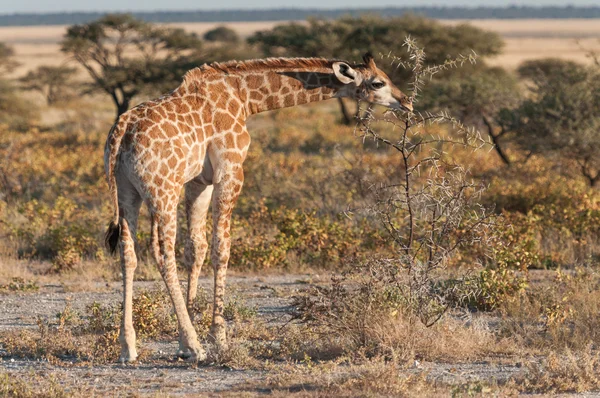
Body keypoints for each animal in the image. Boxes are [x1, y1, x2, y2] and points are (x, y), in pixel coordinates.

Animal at [103, 51, 412, 362]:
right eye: (378, 82)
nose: (406, 101)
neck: (245, 98)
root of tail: (120, 134)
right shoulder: (231, 170)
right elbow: (221, 247)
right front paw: (216, 337)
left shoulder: (199, 180)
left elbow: (196, 248)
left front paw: (183, 337)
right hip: (163, 189)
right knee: (163, 254)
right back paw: (194, 345)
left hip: (128, 191)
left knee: (128, 254)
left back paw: (128, 346)